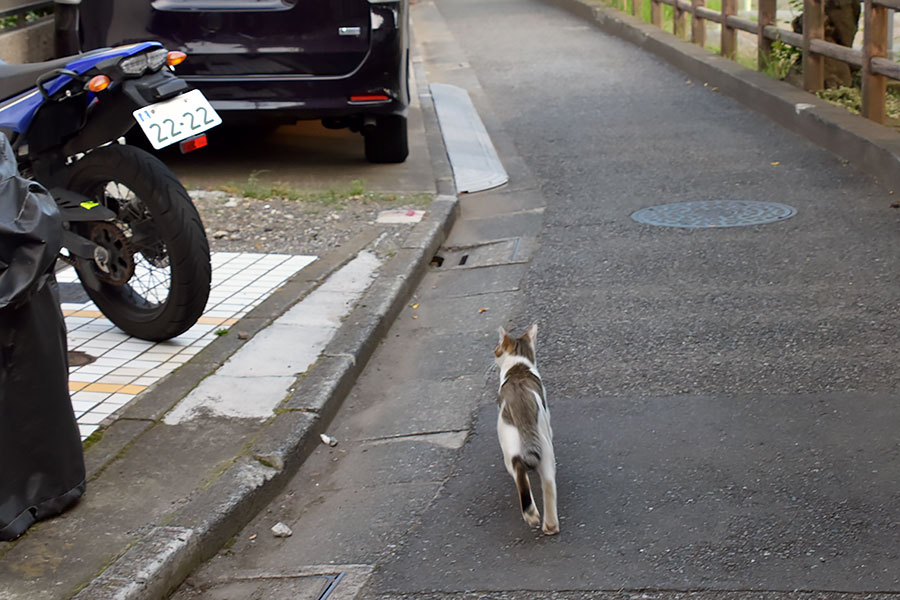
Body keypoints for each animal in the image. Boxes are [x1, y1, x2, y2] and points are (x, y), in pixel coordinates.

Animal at [492, 326, 556, 536]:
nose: (493, 352)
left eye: (497, 348)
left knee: (520, 471)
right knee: (549, 483)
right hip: (544, 447)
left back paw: (531, 515)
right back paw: (549, 525)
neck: (518, 365)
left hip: (510, 446)